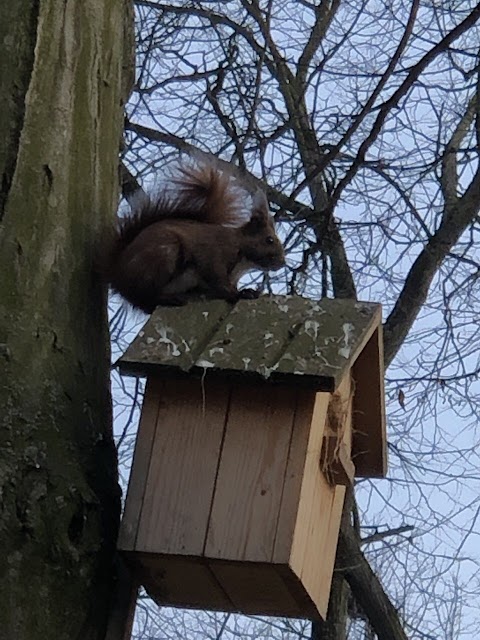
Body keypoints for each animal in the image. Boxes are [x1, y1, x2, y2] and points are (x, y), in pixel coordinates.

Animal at [101, 161, 284, 314]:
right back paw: (170, 298)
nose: (282, 263)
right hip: (163, 254)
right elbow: (219, 282)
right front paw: (241, 293)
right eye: (269, 240)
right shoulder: (213, 256)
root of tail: (116, 271)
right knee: (145, 294)